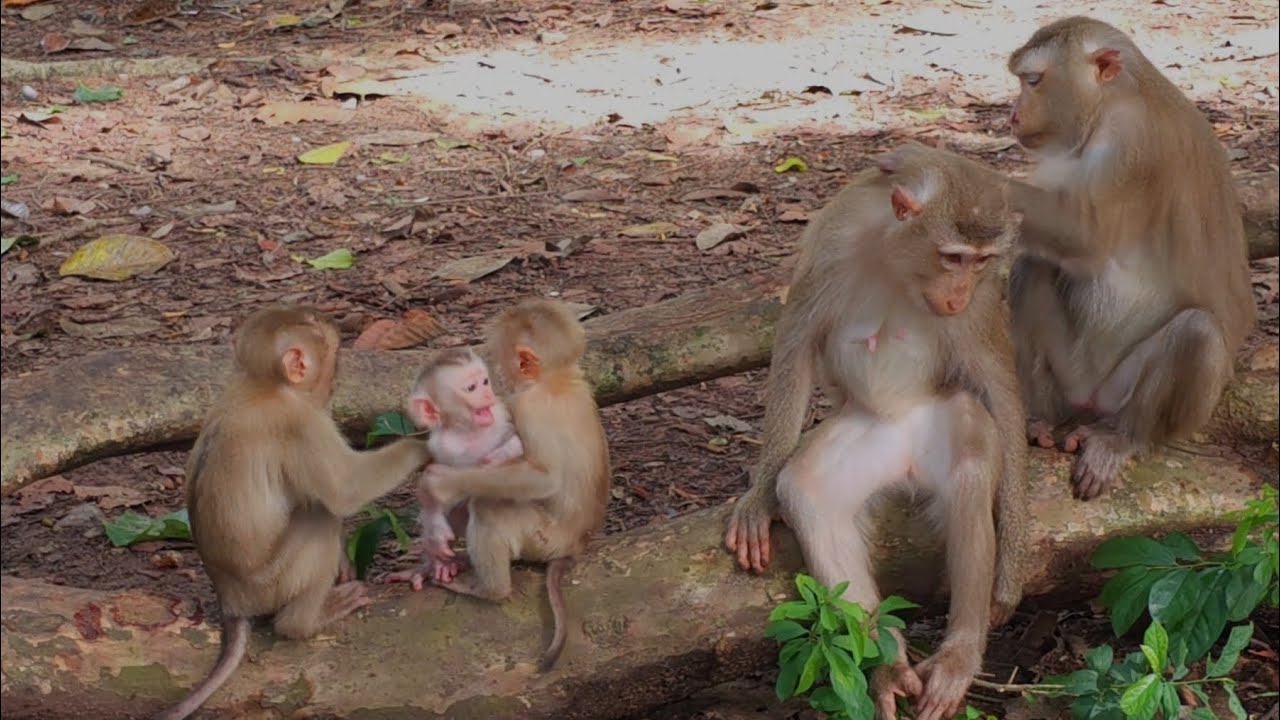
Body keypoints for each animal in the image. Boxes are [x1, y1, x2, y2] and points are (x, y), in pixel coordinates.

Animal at [156, 305, 430, 720]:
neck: (262, 383)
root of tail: (230, 601)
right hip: (270, 583)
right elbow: (345, 489)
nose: (335, 384)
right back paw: (304, 622)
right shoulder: (301, 421)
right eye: (335, 358)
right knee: (320, 520)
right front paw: (424, 444)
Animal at [383, 347, 524, 590]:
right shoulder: (442, 444)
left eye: (485, 382)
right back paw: (436, 565)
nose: (488, 395)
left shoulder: (501, 414)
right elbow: (437, 489)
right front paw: (436, 530)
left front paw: (498, 457)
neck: (469, 430)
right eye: (472, 388)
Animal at [419, 298, 610, 672]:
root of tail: (577, 543)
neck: (558, 380)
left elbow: (542, 477)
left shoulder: (525, 406)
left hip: (543, 538)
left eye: (490, 373)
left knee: (488, 507)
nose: (493, 384)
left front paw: (442, 483)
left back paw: (489, 590)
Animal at [723, 143, 1028, 720]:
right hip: (867, 439)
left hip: (938, 421)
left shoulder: (983, 300)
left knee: (973, 459)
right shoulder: (832, 245)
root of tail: (905, 461)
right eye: (952, 257)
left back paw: (958, 657)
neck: (898, 259)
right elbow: (796, 343)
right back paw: (885, 666)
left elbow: (999, 388)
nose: (958, 294)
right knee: (810, 491)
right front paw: (758, 496)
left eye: (979, 262)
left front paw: (1011, 567)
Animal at [1002, 16, 1256, 500]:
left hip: (1122, 393)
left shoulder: (1133, 140)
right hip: (1070, 376)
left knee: (1197, 332)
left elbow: (1087, 237)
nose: (1012, 114)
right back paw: (1040, 418)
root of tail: (1088, 401)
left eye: (1032, 81)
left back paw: (1124, 438)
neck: (1113, 102)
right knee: (1031, 268)